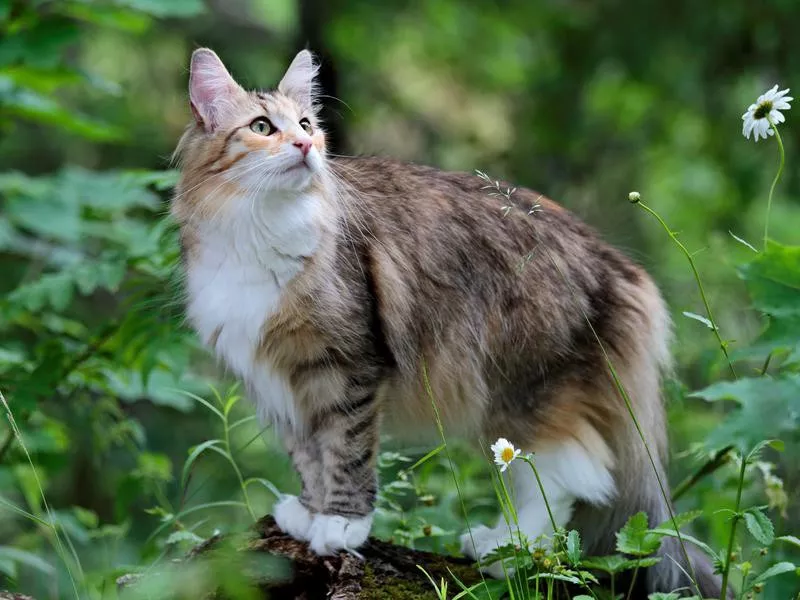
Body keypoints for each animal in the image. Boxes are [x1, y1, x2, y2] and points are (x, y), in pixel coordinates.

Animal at [173, 47, 724, 596]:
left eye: (307, 123)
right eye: (262, 127)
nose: (307, 144)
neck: (258, 225)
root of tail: (621, 267)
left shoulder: (347, 367)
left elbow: (346, 452)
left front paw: (341, 524)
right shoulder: (284, 379)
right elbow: (309, 458)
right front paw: (309, 515)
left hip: (522, 391)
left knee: (564, 477)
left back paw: (512, 550)